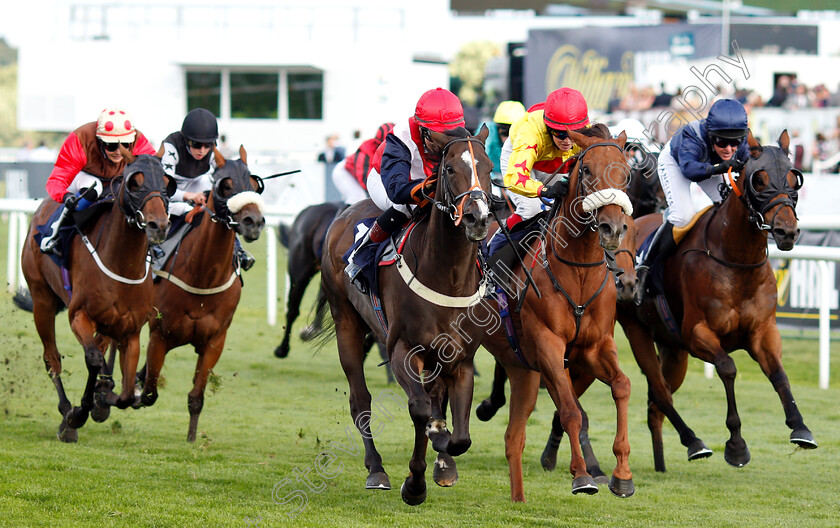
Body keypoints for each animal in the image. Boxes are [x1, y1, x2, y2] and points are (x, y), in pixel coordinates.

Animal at [20, 151, 171, 444]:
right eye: (134, 182)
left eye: (167, 181)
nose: (158, 225)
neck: (122, 264)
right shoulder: (79, 315)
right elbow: (92, 359)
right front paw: (77, 413)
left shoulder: (131, 330)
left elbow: (125, 395)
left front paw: (104, 396)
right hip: (42, 300)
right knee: (52, 358)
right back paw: (66, 412)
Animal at [140, 145, 266, 442]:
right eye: (225, 185)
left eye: (255, 183)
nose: (253, 221)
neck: (203, 276)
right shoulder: (160, 335)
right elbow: (149, 391)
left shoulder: (214, 342)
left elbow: (196, 396)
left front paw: (191, 439)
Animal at [320, 126, 492, 506]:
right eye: (449, 169)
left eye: (488, 167)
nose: (477, 217)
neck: (448, 277)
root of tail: (343, 215)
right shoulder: (403, 349)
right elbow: (420, 410)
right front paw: (414, 483)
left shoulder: (460, 359)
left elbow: (460, 435)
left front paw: (443, 461)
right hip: (346, 323)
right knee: (360, 401)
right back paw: (376, 470)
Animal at [476, 125, 632, 504]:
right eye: (586, 170)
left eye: (626, 173)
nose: (612, 228)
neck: (578, 272)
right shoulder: (548, 345)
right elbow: (571, 410)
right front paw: (582, 475)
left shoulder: (594, 348)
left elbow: (622, 386)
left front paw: (622, 474)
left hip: (522, 367)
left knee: (513, 437)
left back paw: (517, 497)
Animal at [624, 130, 812, 472]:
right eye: (759, 180)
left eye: (794, 178)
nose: (786, 232)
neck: (736, 260)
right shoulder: (697, 333)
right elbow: (728, 368)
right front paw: (736, 445)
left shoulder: (763, 332)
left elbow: (779, 374)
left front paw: (800, 427)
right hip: (636, 330)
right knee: (660, 393)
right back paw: (694, 442)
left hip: (672, 349)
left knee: (656, 403)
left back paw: (661, 464)